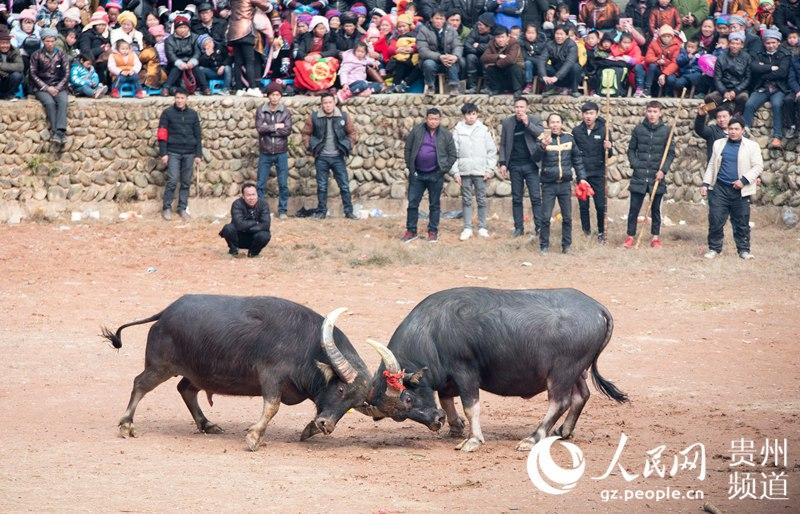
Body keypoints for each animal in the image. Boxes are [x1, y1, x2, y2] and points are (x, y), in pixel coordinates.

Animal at [101, 294, 374, 450]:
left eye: (355, 403)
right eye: (341, 388)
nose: (327, 426)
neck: (307, 346)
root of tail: (166, 312)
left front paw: (310, 429)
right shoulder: (271, 377)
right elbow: (272, 406)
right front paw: (254, 437)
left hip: (197, 373)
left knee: (185, 389)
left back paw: (207, 424)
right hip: (160, 366)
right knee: (140, 384)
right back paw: (126, 425)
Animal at [364, 286, 632, 450]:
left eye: (408, 398)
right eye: (397, 415)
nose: (436, 421)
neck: (431, 332)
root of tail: (598, 309)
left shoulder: (465, 372)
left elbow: (470, 406)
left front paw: (472, 440)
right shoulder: (448, 379)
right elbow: (446, 398)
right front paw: (455, 427)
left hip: (562, 372)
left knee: (560, 401)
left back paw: (533, 438)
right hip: (576, 371)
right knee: (581, 396)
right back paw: (563, 431)